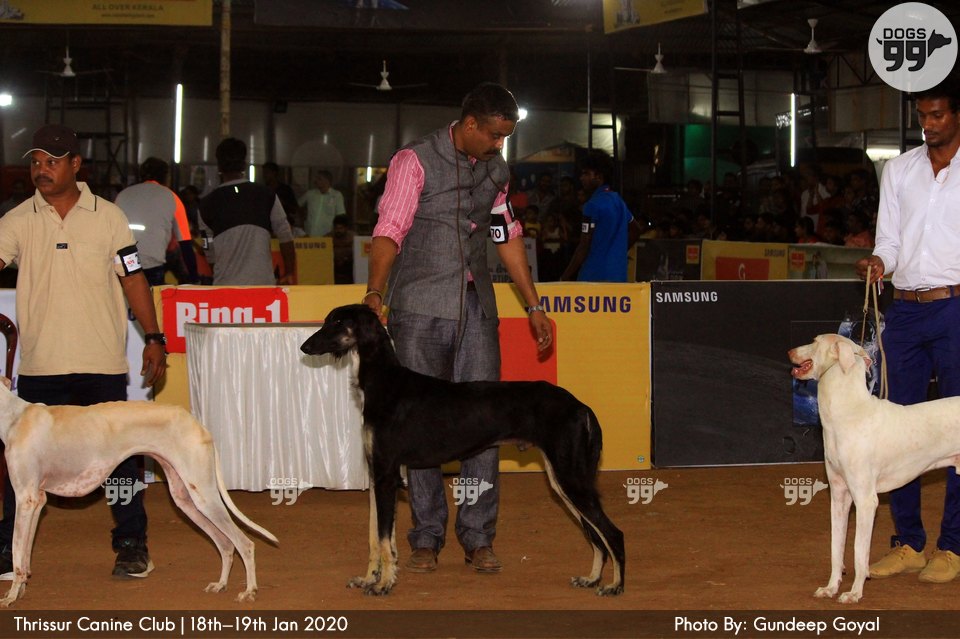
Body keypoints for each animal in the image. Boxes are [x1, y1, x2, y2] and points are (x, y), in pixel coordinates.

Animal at [0, 377, 277, 606]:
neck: (13, 417)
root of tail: (196, 423)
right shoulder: (36, 501)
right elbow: (24, 555)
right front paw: (20, 591)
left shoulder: (25, 499)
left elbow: (16, 550)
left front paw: (10, 596)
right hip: (185, 499)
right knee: (226, 544)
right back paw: (220, 585)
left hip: (204, 495)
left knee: (245, 543)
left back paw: (249, 591)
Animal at [300, 304, 624, 596]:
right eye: (329, 320)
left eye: (337, 322)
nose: (305, 347)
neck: (385, 382)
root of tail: (580, 406)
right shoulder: (377, 474)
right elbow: (375, 537)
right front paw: (370, 579)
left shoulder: (386, 475)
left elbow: (381, 539)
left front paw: (383, 585)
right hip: (562, 480)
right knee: (596, 536)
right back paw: (591, 578)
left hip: (571, 477)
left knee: (612, 533)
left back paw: (614, 586)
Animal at [789, 333, 960, 603]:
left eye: (815, 341)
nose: (789, 352)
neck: (848, 412)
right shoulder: (839, 496)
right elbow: (836, 548)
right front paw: (831, 587)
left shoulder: (866, 500)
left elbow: (859, 551)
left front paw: (854, 593)